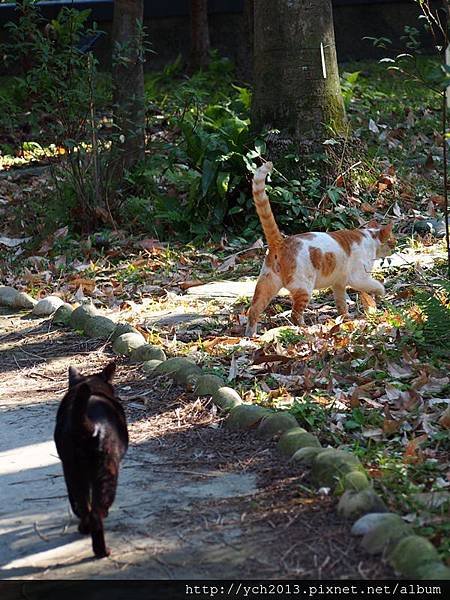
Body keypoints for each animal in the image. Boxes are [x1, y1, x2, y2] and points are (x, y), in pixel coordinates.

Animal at [55, 360, 128, 556]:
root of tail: (88, 424)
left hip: (73, 471)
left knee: (80, 504)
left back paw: (84, 528)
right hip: (107, 470)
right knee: (96, 511)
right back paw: (102, 550)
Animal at [244, 162, 396, 336]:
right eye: (393, 240)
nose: (396, 246)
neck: (370, 237)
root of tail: (281, 242)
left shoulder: (338, 283)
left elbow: (341, 303)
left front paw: (345, 319)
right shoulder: (358, 278)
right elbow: (376, 285)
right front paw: (381, 294)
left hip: (267, 284)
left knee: (253, 310)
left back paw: (250, 336)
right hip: (304, 287)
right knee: (295, 314)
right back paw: (305, 329)